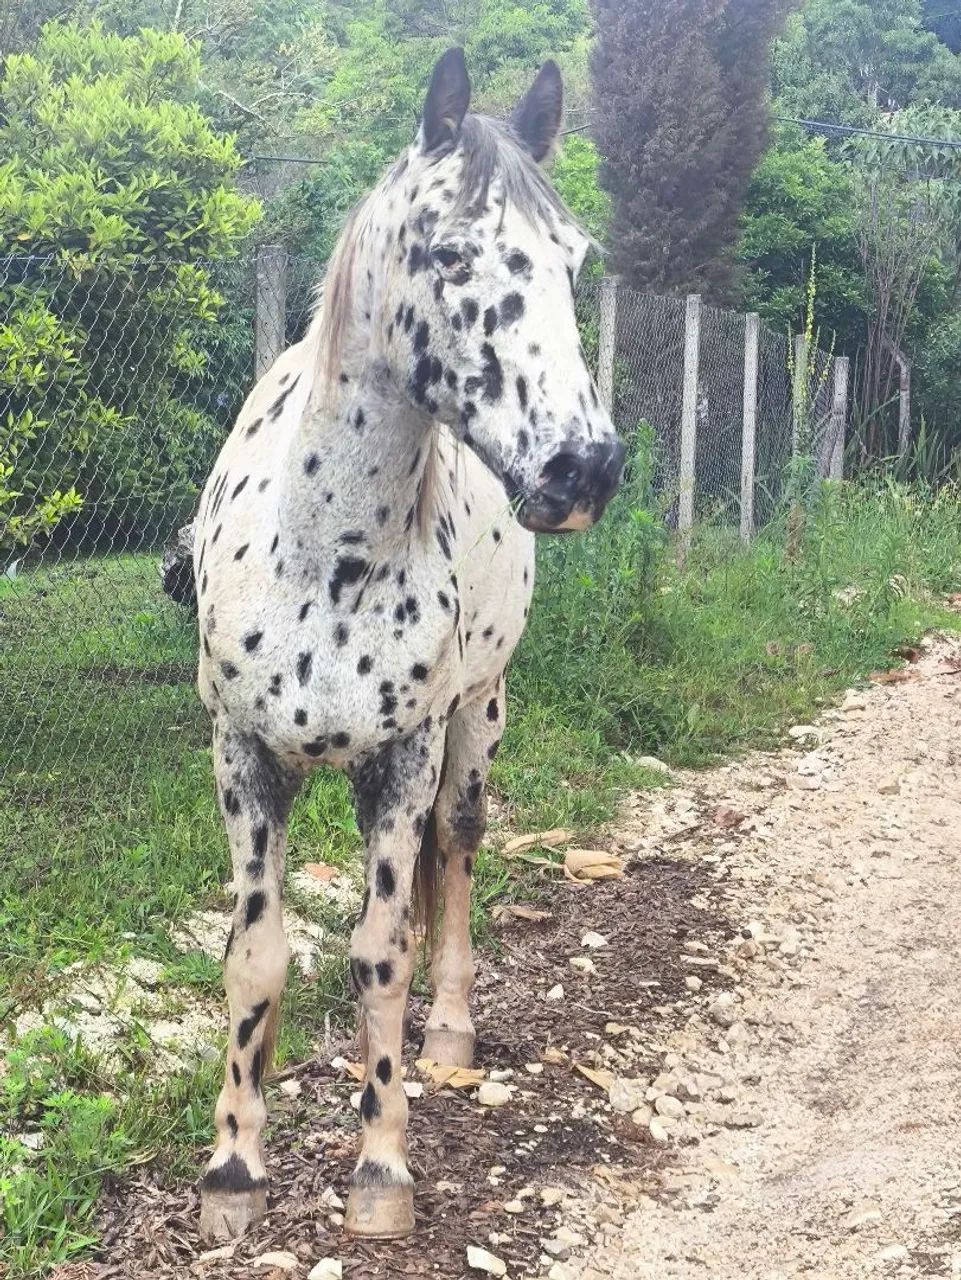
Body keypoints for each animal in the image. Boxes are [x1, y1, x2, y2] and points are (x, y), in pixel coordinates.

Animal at [193, 46, 624, 1243]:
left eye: (574, 259)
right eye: (451, 252)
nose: (585, 468)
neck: (322, 552)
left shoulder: (402, 756)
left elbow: (379, 955)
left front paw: (380, 1167)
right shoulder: (245, 756)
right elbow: (254, 953)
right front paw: (233, 1165)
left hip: (475, 720)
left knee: (457, 852)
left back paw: (449, 1033)